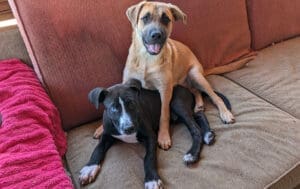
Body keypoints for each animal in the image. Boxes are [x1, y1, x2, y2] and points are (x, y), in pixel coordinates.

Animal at [78, 79, 231, 188]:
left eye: (132, 103)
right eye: (113, 109)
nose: (129, 128)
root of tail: (186, 88)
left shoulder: (150, 136)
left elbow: (149, 157)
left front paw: (151, 179)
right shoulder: (107, 135)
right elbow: (97, 149)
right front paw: (89, 168)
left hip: (178, 104)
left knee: (195, 128)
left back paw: (192, 154)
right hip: (179, 113)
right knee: (199, 115)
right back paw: (208, 134)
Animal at [95, 1, 238, 149]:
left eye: (166, 19)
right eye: (145, 17)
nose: (156, 35)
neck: (147, 58)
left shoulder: (165, 89)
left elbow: (164, 114)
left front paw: (163, 136)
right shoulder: (127, 81)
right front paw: (101, 128)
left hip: (195, 75)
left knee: (214, 96)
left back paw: (225, 113)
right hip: (186, 82)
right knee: (195, 91)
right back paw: (198, 105)